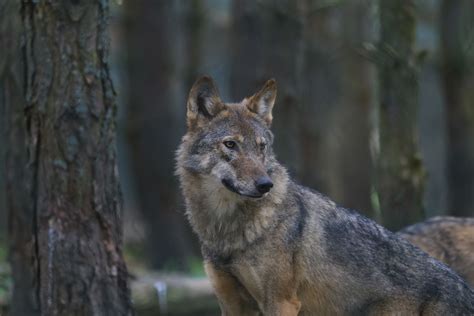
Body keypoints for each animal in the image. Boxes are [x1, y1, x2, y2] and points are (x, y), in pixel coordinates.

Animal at [176, 77, 474, 316]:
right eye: (230, 144)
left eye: (261, 147)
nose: (265, 185)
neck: (226, 229)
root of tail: (465, 289)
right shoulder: (232, 304)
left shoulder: (281, 302)